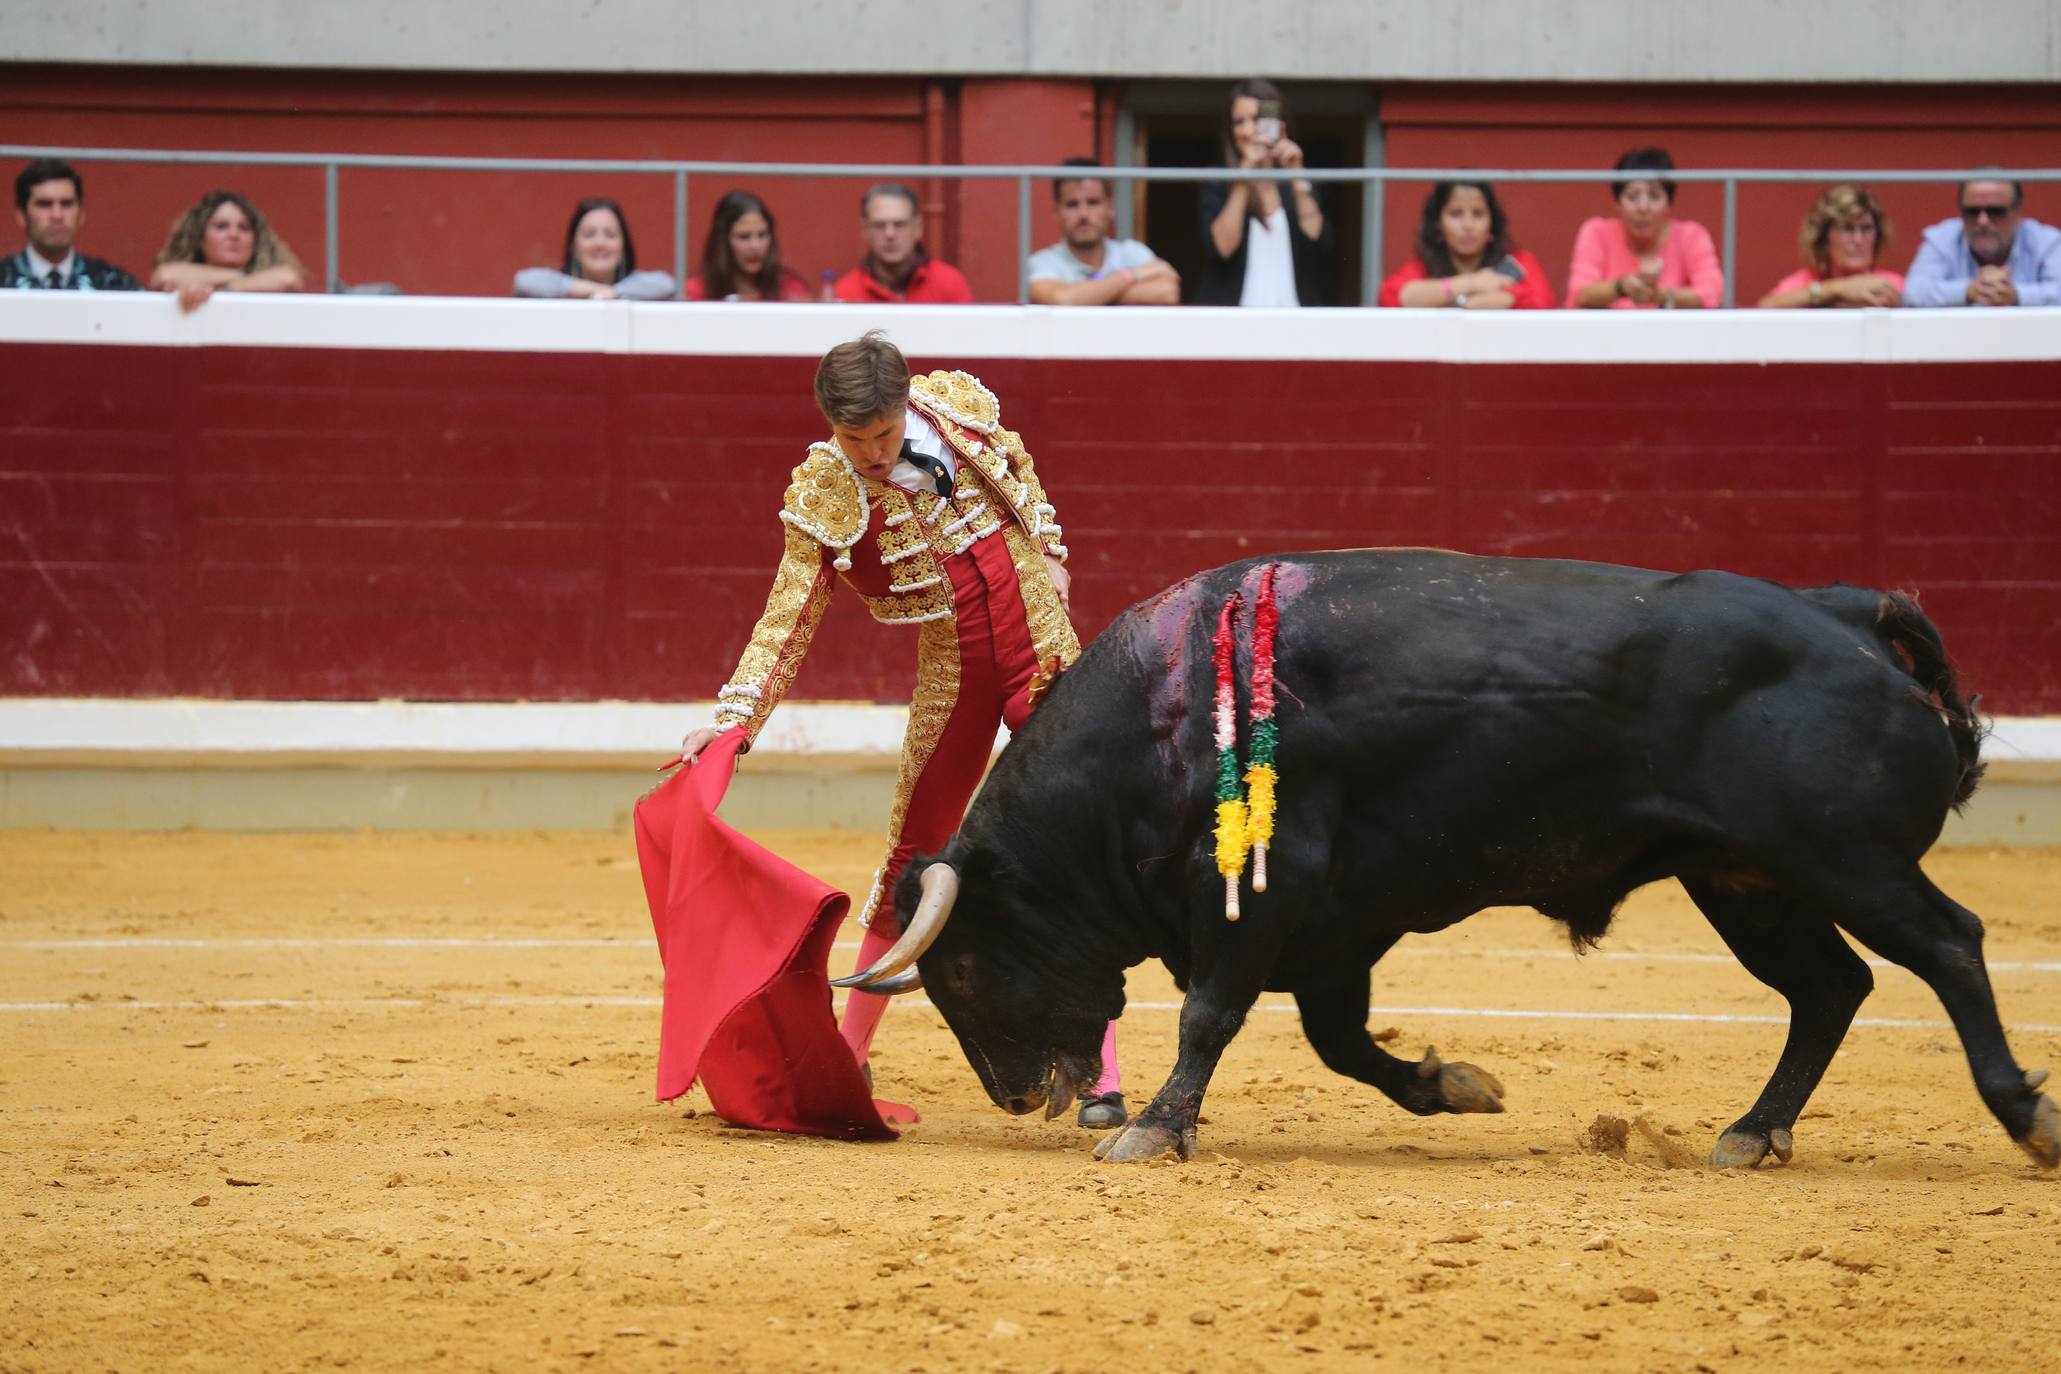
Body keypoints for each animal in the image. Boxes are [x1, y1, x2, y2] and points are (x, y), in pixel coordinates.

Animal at [836, 552, 2061, 1170]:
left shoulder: (1259, 901)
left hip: (1842, 859)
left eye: (964, 969)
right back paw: (1752, 1133)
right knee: (1831, 987)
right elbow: (1338, 1044)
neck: (1169, 711)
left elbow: (1208, 1016)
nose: (1016, 1098)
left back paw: (2024, 1119)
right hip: (1744, 881)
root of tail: (1847, 616)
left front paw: (1153, 1128)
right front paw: (1454, 1086)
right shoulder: (1332, 932)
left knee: (1947, 947)